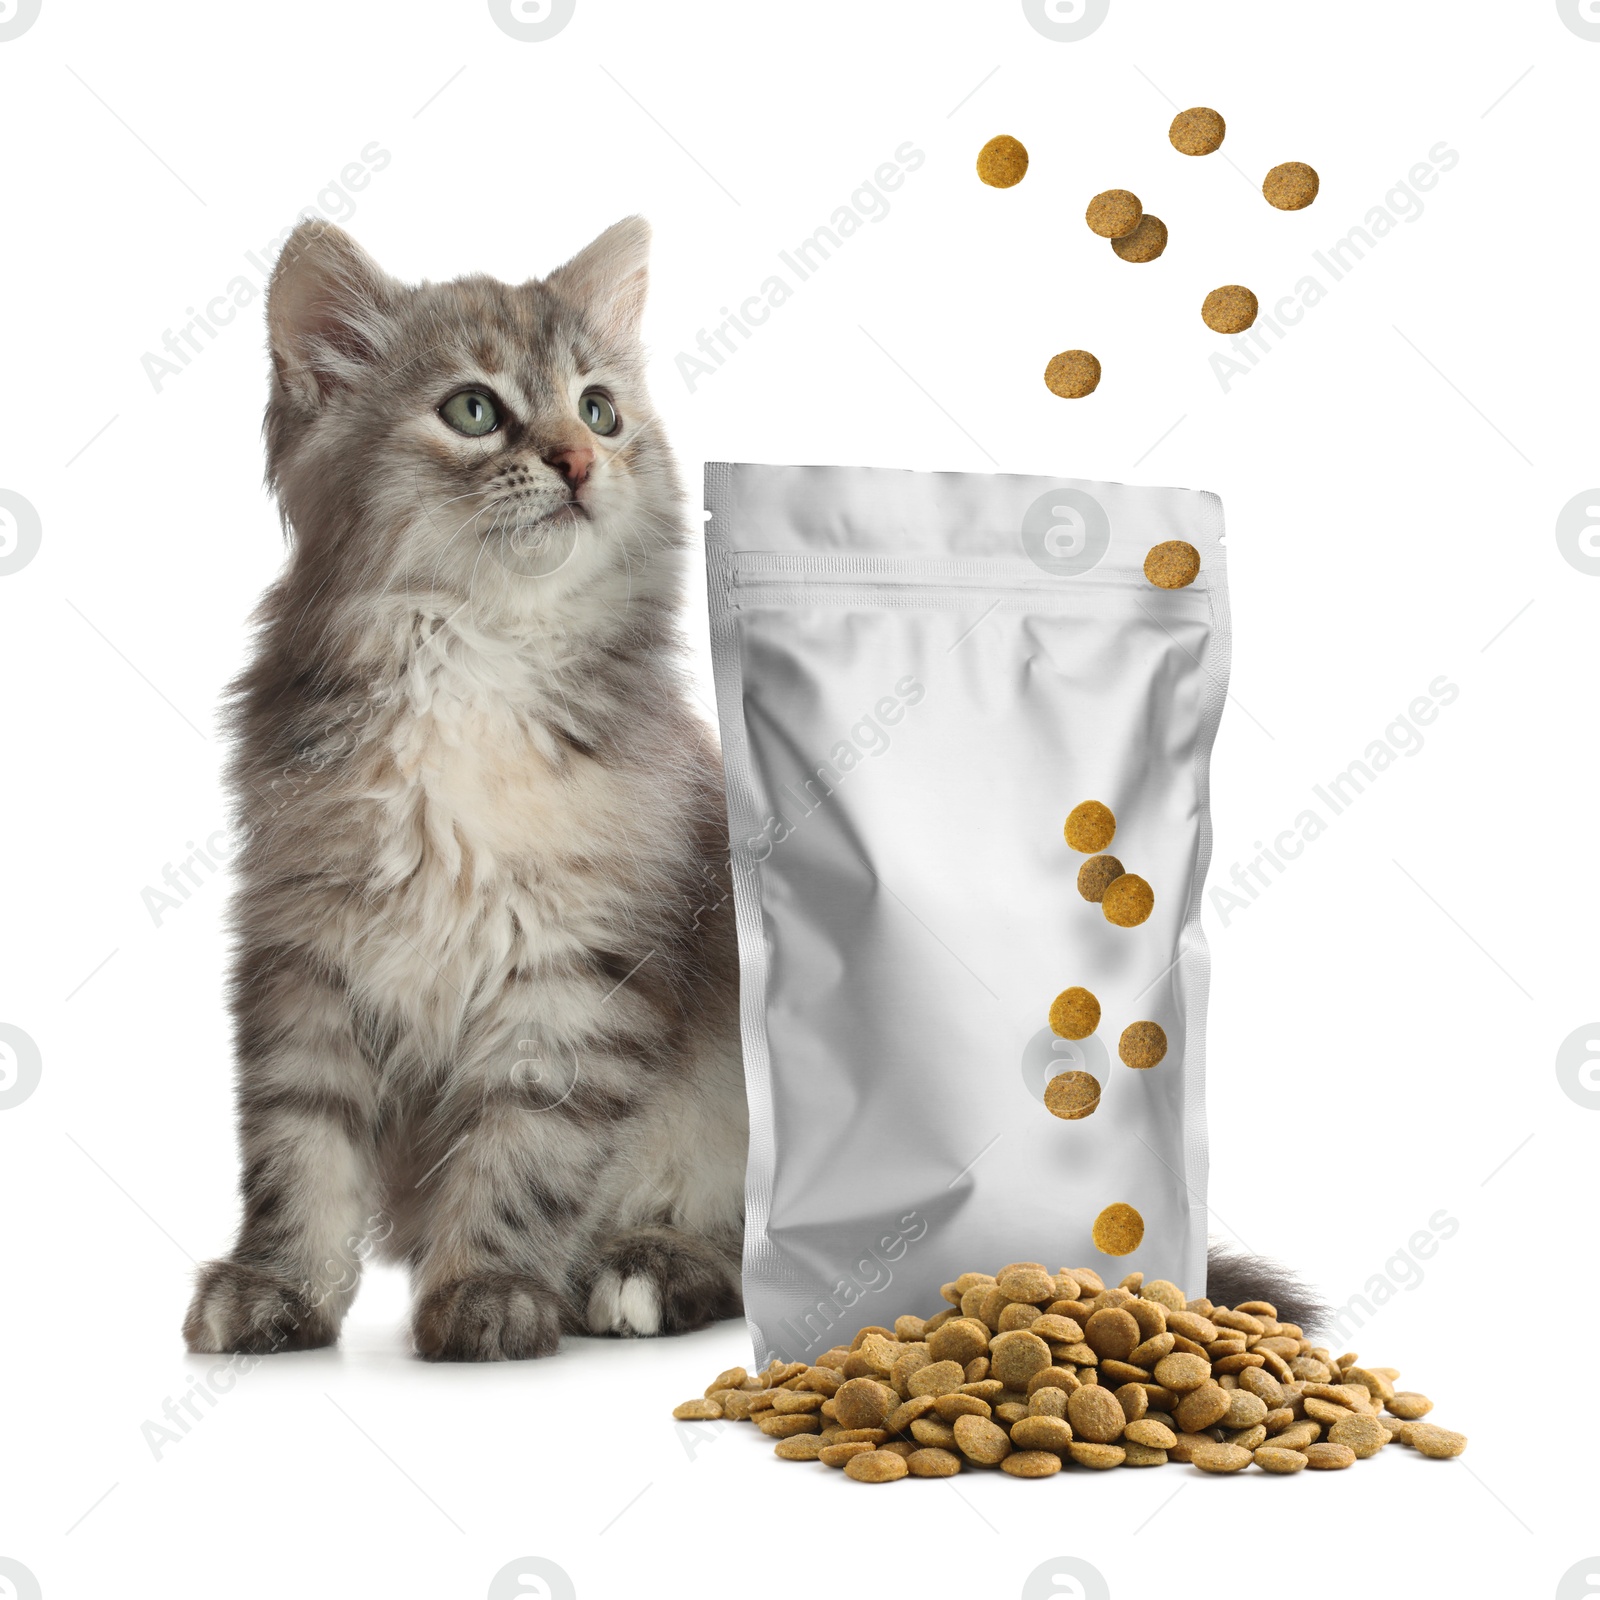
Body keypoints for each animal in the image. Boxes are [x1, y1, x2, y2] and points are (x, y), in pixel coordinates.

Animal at [183, 216, 748, 1363]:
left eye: (599, 409)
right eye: (474, 411)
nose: (577, 460)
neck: (473, 656)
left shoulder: (574, 975)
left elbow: (521, 1154)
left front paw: (489, 1292)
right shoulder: (303, 954)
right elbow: (296, 1152)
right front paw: (277, 1291)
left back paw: (643, 1272)